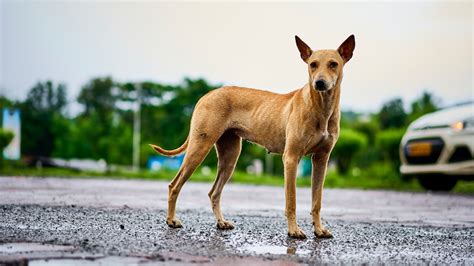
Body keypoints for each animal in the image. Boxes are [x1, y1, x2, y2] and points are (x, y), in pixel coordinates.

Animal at [150, 35, 354, 239]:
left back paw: (221, 222)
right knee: (174, 185)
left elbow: (317, 200)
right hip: (199, 147)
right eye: (313, 64)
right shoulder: (291, 158)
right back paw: (171, 220)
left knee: (214, 192)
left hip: (230, 157)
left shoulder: (321, 160)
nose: (319, 83)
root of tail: (207, 94)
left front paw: (319, 229)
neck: (321, 107)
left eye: (333, 64)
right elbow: (292, 201)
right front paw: (293, 230)